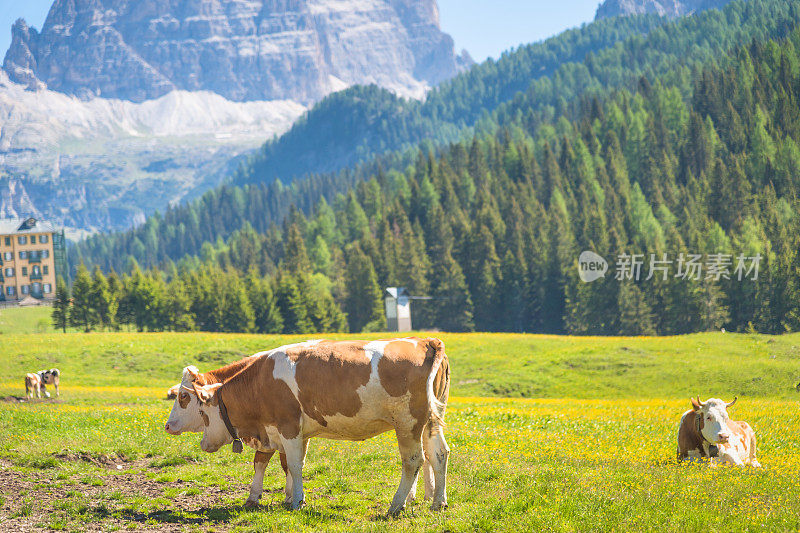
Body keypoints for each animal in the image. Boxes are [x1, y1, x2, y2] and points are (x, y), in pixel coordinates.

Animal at [164, 356, 290, 504]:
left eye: (183, 395)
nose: (167, 426)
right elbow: (260, 461)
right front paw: (253, 497)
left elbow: (287, 464)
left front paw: (290, 497)